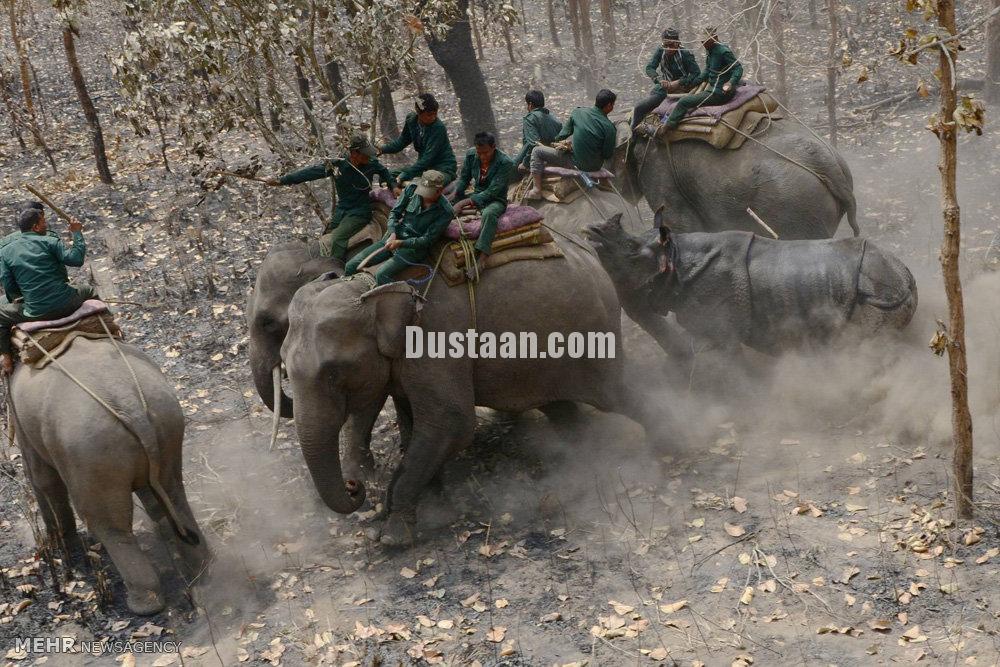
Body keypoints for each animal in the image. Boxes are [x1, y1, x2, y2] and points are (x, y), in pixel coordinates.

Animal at [9, 340, 210, 616]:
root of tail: (131, 406)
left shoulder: (22, 422)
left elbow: (42, 478)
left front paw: (61, 548)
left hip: (92, 454)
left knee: (108, 524)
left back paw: (144, 605)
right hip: (168, 427)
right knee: (172, 494)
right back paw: (201, 565)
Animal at [282, 240, 672, 548]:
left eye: (334, 371)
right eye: (284, 366)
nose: (355, 486)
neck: (372, 284)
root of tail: (590, 257)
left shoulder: (435, 339)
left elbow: (452, 423)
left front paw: (392, 538)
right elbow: (416, 422)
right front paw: (430, 504)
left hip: (590, 331)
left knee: (615, 392)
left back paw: (674, 443)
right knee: (559, 405)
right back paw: (580, 459)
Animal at [584, 217, 920, 358]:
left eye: (630, 249)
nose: (590, 232)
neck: (676, 258)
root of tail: (906, 276)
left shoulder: (722, 330)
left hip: (878, 297)